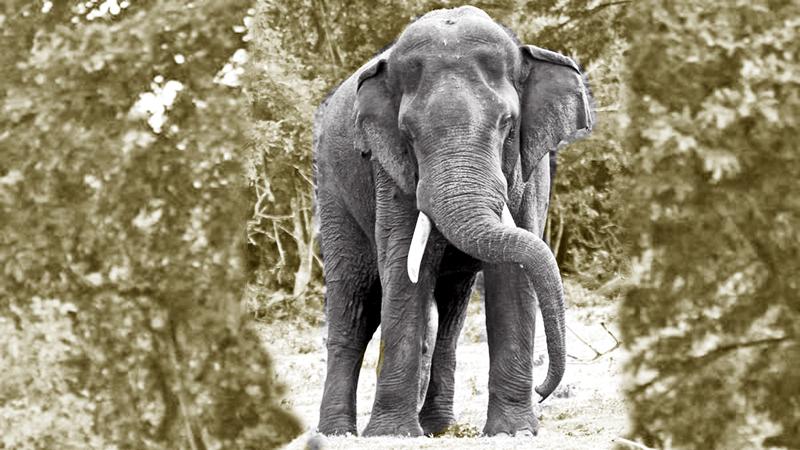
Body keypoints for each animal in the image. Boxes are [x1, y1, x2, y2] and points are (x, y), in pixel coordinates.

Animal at [312, 5, 592, 438]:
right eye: (408, 134)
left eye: (507, 125)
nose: (544, 391)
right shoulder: (388, 169)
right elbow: (403, 269)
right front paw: (392, 434)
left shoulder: (529, 172)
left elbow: (513, 275)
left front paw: (512, 432)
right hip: (332, 190)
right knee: (354, 303)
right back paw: (336, 433)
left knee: (451, 315)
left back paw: (438, 427)